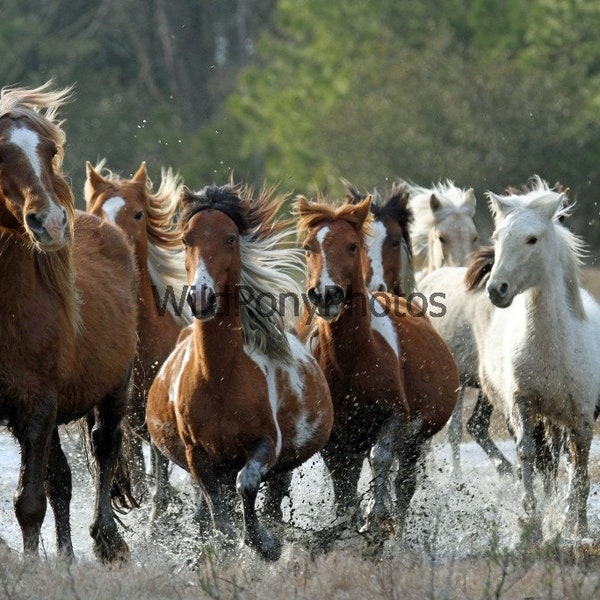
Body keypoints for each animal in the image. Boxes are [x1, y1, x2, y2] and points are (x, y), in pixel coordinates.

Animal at [0, 84, 137, 564]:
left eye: (51, 149)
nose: (52, 222)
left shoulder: (38, 405)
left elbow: (29, 502)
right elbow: (48, 487)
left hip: (114, 389)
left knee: (104, 447)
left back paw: (106, 538)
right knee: (61, 477)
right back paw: (67, 555)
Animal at [145, 185, 332, 560]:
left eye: (230, 238)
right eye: (186, 239)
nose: (201, 298)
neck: (219, 379)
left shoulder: (266, 445)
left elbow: (246, 484)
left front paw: (266, 544)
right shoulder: (198, 457)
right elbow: (218, 513)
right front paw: (235, 544)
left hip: (283, 467)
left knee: (270, 496)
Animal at [296, 196, 460, 540]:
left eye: (351, 245)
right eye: (308, 247)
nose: (326, 294)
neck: (351, 360)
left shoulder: (396, 417)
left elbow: (381, 457)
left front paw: (377, 515)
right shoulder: (337, 440)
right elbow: (343, 486)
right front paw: (348, 521)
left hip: (415, 440)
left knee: (405, 484)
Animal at [474, 180, 600, 536]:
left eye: (532, 239)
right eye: (497, 237)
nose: (497, 289)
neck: (553, 349)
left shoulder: (583, 418)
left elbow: (580, 468)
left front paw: (577, 526)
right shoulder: (523, 404)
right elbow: (527, 454)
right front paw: (532, 517)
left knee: (569, 462)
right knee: (549, 460)